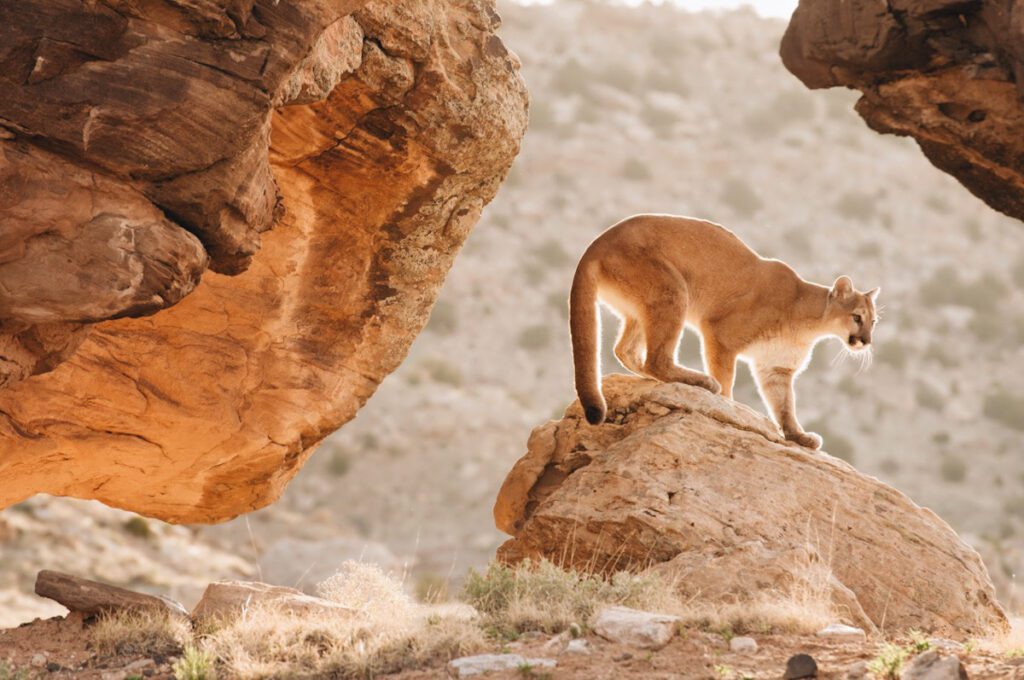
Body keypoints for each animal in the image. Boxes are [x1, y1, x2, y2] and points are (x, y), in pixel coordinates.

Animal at [569, 213, 880, 446]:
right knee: (656, 358)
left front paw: (798, 436)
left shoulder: (776, 368)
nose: (865, 341)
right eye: (857, 317)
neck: (810, 324)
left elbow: (784, 406)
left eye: (873, 321)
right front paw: (728, 407)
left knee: (627, 350)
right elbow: (727, 378)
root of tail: (597, 242)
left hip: (643, 306)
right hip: (672, 291)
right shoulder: (720, 333)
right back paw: (701, 381)